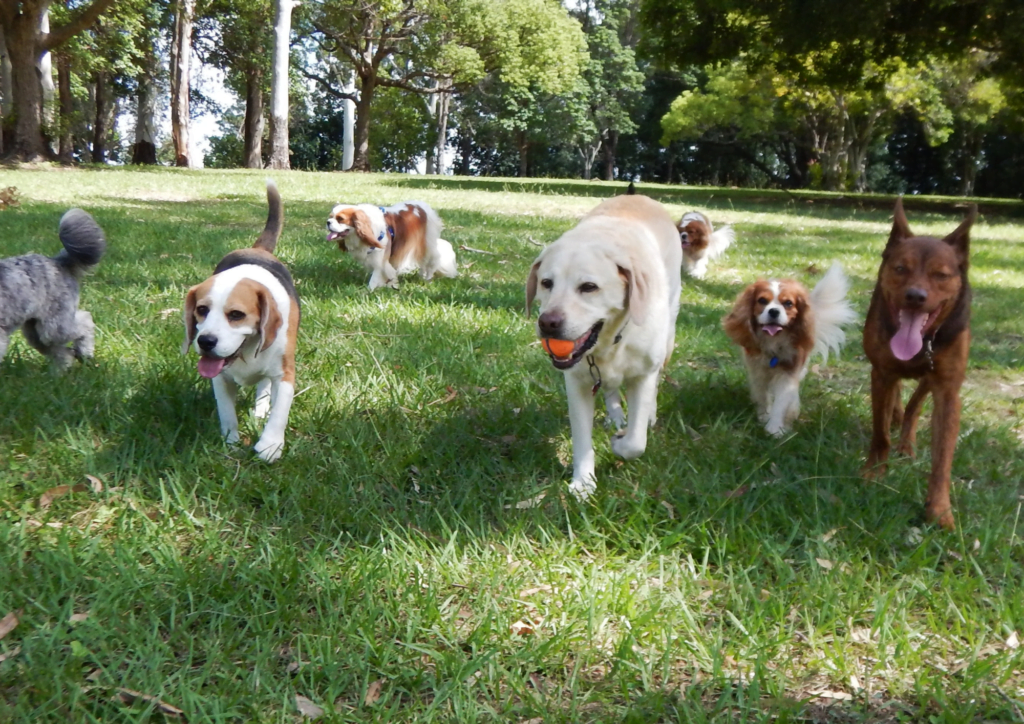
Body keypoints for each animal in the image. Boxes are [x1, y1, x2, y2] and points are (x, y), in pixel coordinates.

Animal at [0, 207, 105, 368]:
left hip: (55, 327)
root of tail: (60, 262)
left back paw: (85, 353)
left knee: (86, 321)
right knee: (64, 354)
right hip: (37, 332)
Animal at [325, 199, 458, 290]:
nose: (328, 222)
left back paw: (427, 278)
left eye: (340, 219)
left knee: (431, 260)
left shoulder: (380, 258)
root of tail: (421, 205)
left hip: (427, 244)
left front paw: (369, 290)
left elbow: (375, 277)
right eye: (331, 217)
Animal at [528, 192, 679, 501]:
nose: (548, 323)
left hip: (669, 334)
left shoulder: (643, 375)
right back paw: (616, 414)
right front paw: (583, 483)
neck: (609, 342)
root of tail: (639, 195)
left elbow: (636, 442)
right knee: (610, 388)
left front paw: (620, 444)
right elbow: (581, 438)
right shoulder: (577, 383)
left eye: (589, 287)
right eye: (546, 283)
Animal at [720, 266, 856, 436]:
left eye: (788, 303)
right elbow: (762, 394)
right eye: (762, 301)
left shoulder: (789, 371)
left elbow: (782, 401)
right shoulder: (757, 371)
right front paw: (764, 416)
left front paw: (775, 428)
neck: (774, 342)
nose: (773, 311)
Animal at [864, 195, 974, 528]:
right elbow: (880, 433)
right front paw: (874, 472)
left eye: (941, 274)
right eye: (901, 268)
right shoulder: (881, 372)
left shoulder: (947, 390)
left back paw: (906, 441)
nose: (915, 296)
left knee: (914, 404)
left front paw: (939, 510)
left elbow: (942, 459)